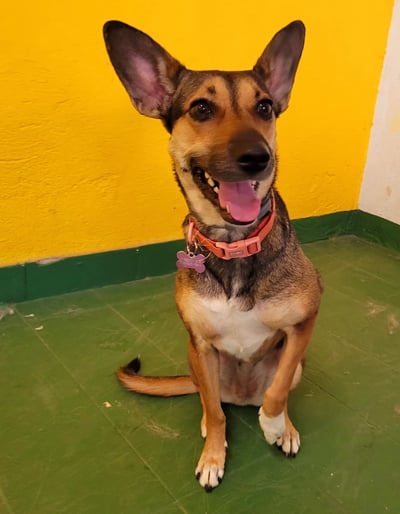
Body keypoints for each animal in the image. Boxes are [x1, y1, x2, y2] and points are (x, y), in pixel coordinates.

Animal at [103, 19, 322, 492]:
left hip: (291, 363)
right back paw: (210, 420)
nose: (258, 157)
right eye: (201, 109)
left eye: (265, 107)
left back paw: (284, 425)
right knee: (211, 401)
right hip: (196, 360)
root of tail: (239, 393)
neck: (234, 242)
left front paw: (274, 425)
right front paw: (213, 455)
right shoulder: (200, 343)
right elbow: (218, 415)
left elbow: (277, 391)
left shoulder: (303, 323)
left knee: (273, 386)